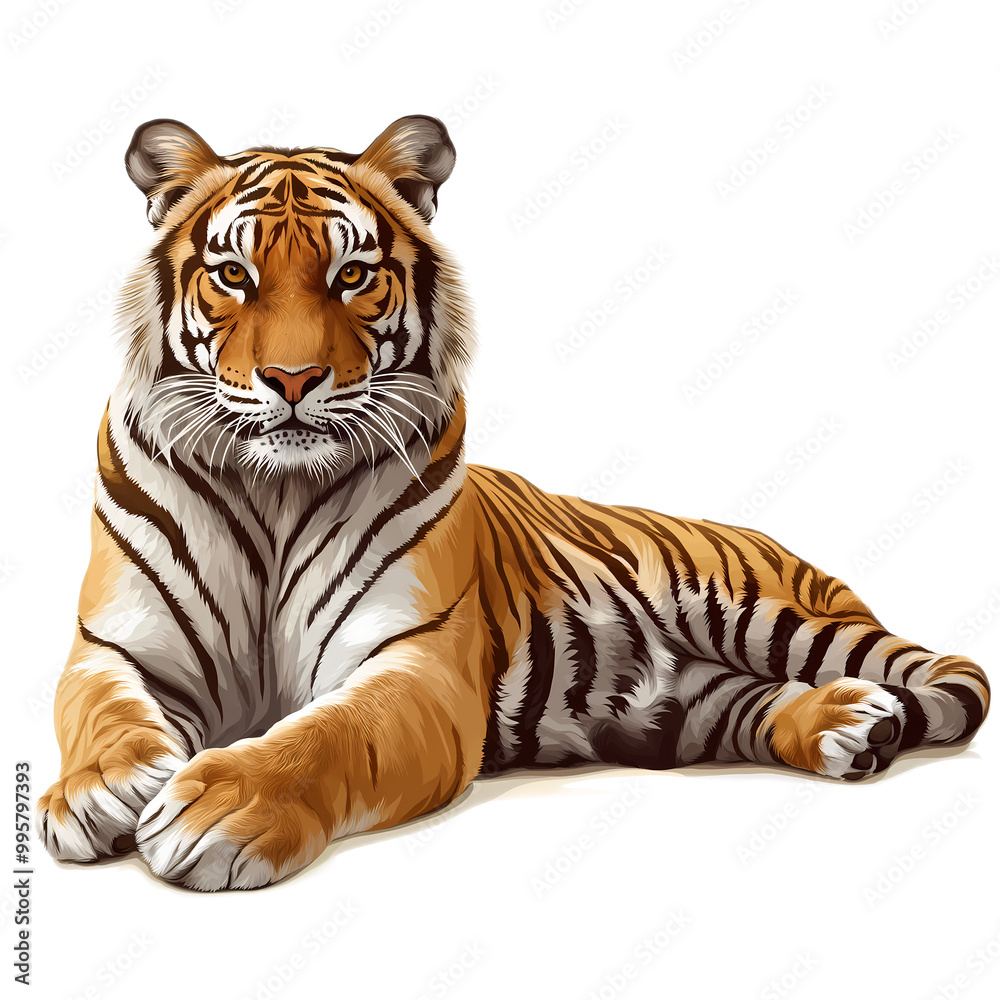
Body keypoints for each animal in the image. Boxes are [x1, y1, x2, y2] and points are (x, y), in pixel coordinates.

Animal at [37, 115, 989, 891]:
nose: (294, 378)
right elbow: (102, 718)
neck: (274, 488)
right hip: (678, 711)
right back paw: (846, 727)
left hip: (763, 613)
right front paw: (92, 792)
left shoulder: (414, 662)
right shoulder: (119, 647)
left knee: (934, 670)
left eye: (353, 274)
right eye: (233, 274)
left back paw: (863, 714)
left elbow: (323, 739)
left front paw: (220, 809)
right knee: (751, 706)